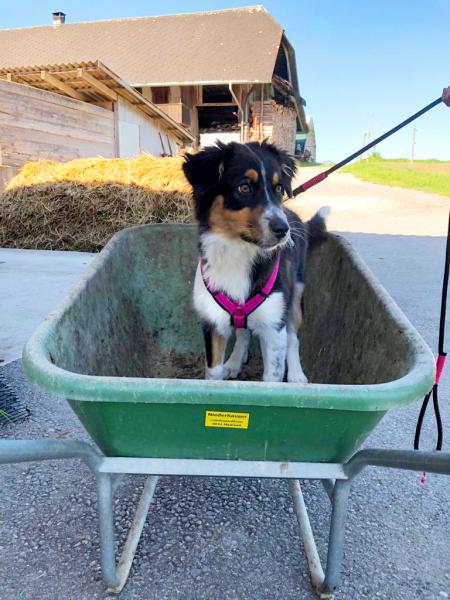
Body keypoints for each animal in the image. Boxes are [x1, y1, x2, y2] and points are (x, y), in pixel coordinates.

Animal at [183, 140, 328, 383]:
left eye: (278, 188)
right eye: (244, 187)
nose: (283, 230)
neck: (238, 252)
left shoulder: (274, 326)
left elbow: (272, 377)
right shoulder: (213, 324)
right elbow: (213, 373)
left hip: (295, 297)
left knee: (293, 338)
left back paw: (296, 375)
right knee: (243, 333)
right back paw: (234, 361)